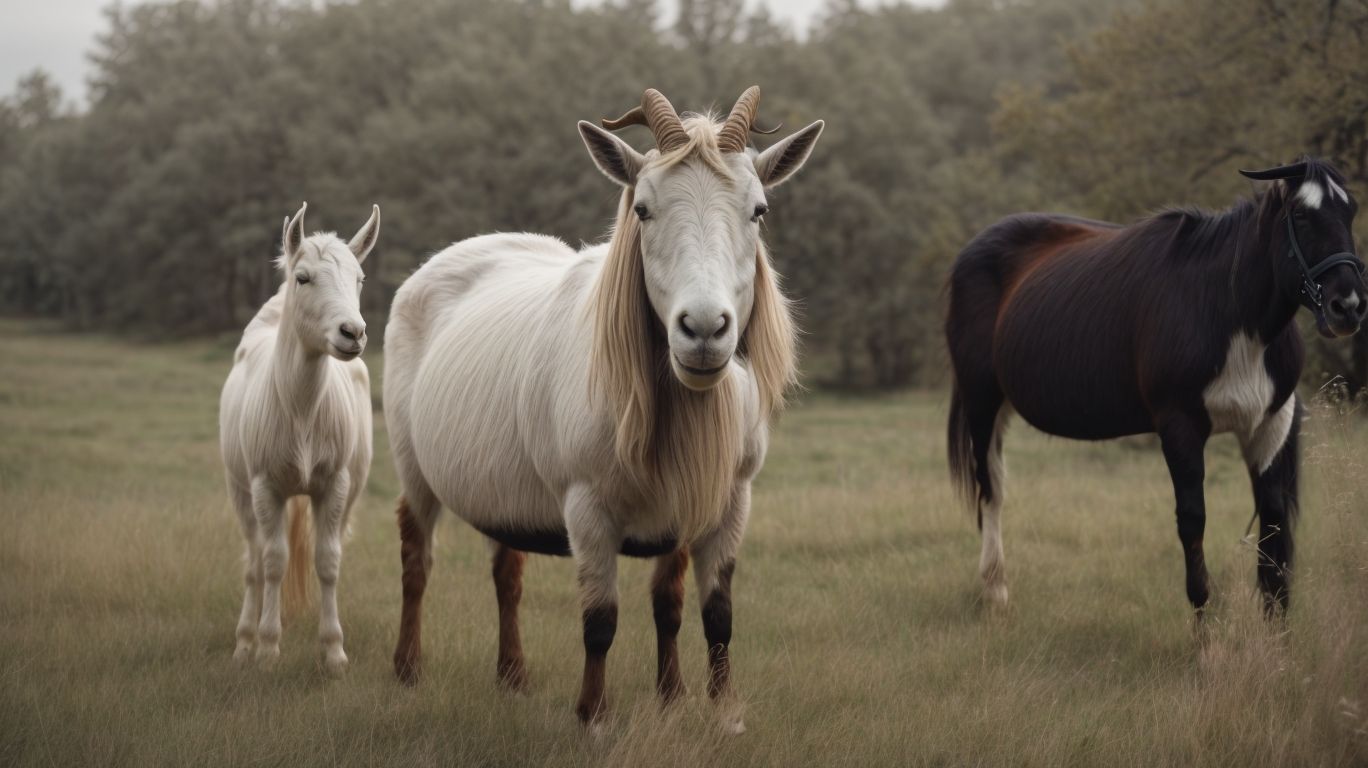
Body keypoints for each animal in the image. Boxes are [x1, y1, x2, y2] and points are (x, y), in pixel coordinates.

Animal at [219, 202, 380, 674]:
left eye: (360, 278)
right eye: (304, 277)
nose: (353, 332)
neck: (302, 412)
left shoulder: (335, 484)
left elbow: (327, 561)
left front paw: (334, 651)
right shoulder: (264, 485)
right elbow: (273, 562)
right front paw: (267, 648)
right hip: (240, 488)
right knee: (254, 559)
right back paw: (244, 640)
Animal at [383, 87, 822, 728]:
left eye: (758, 210)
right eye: (642, 209)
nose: (703, 329)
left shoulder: (719, 497)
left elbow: (698, 608)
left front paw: (702, 706)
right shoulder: (587, 507)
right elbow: (600, 622)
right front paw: (593, 716)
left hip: (502, 489)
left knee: (506, 570)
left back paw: (513, 676)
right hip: (412, 464)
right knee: (416, 558)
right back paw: (408, 670)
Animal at [946, 158, 1362, 618]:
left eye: (1351, 210)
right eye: (1302, 215)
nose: (1348, 306)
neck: (1228, 311)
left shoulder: (1271, 422)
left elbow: (1273, 525)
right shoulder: (1179, 425)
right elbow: (1193, 519)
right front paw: (1203, 629)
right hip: (982, 401)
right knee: (990, 489)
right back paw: (995, 590)